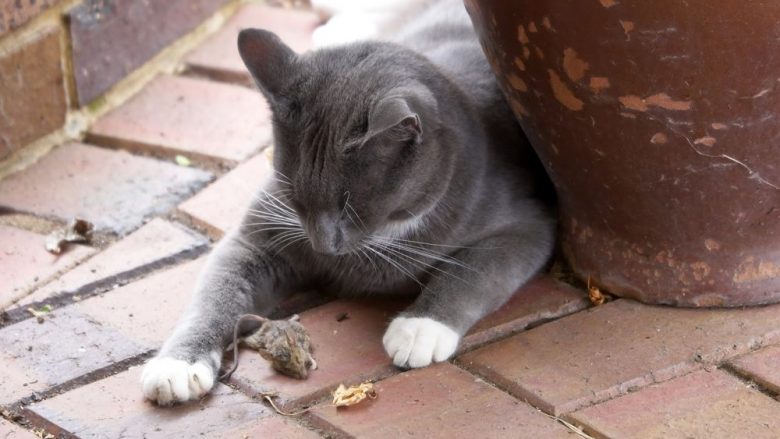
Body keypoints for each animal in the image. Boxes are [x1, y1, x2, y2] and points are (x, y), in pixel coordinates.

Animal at [140, 0, 556, 406]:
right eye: (294, 194)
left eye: (350, 205)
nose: (322, 244)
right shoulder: (258, 235)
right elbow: (215, 293)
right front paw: (177, 365)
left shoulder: (528, 222)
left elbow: (475, 272)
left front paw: (419, 329)